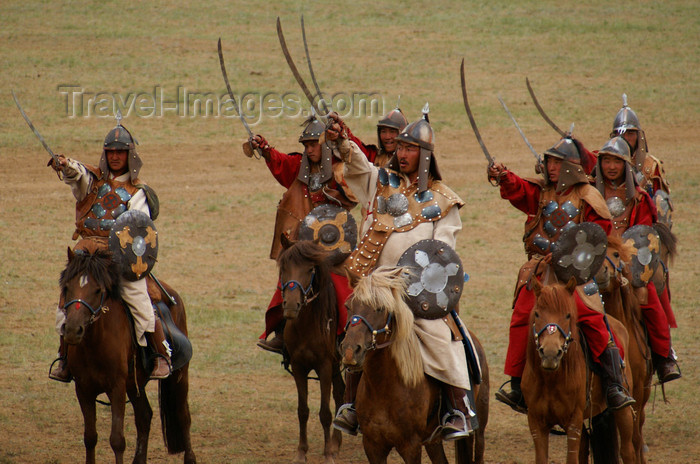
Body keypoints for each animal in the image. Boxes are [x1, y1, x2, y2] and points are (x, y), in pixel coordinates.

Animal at [60, 245, 196, 462]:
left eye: (98, 290)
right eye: (67, 288)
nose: (73, 330)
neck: (94, 345)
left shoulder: (117, 388)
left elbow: (117, 440)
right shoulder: (83, 389)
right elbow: (90, 437)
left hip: (179, 375)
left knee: (183, 416)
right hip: (134, 384)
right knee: (144, 416)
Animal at [278, 237, 346, 464]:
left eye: (309, 269)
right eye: (283, 267)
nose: (291, 305)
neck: (307, 325)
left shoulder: (324, 367)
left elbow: (324, 413)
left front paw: (327, 455)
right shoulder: (299, 367)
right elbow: (303, 410)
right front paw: (301, 452)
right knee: (340, 393)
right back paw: (336, 442)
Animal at [340, 266, 486, 464]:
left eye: (380, 308)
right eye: (348, 306)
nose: (350, 351)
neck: (383, 388)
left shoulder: (410, 446)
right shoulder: (372, 445)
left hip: (477, 430)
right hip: (433, 440)